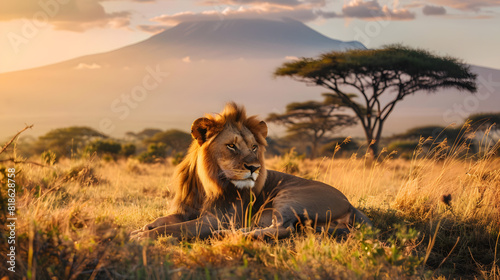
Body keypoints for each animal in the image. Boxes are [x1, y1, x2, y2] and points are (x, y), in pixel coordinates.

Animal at [130, 103, 372, 241]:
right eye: (231, 146)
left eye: (254, 147)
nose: (255, 168)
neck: (206, 186)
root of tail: (350, 204)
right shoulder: (187, 210)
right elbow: (163, 220)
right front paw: (141, 228)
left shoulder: (217, 219)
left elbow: (176, 229)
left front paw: (141, 236)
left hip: (290, 196)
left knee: (283, 229)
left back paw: (229, 234)